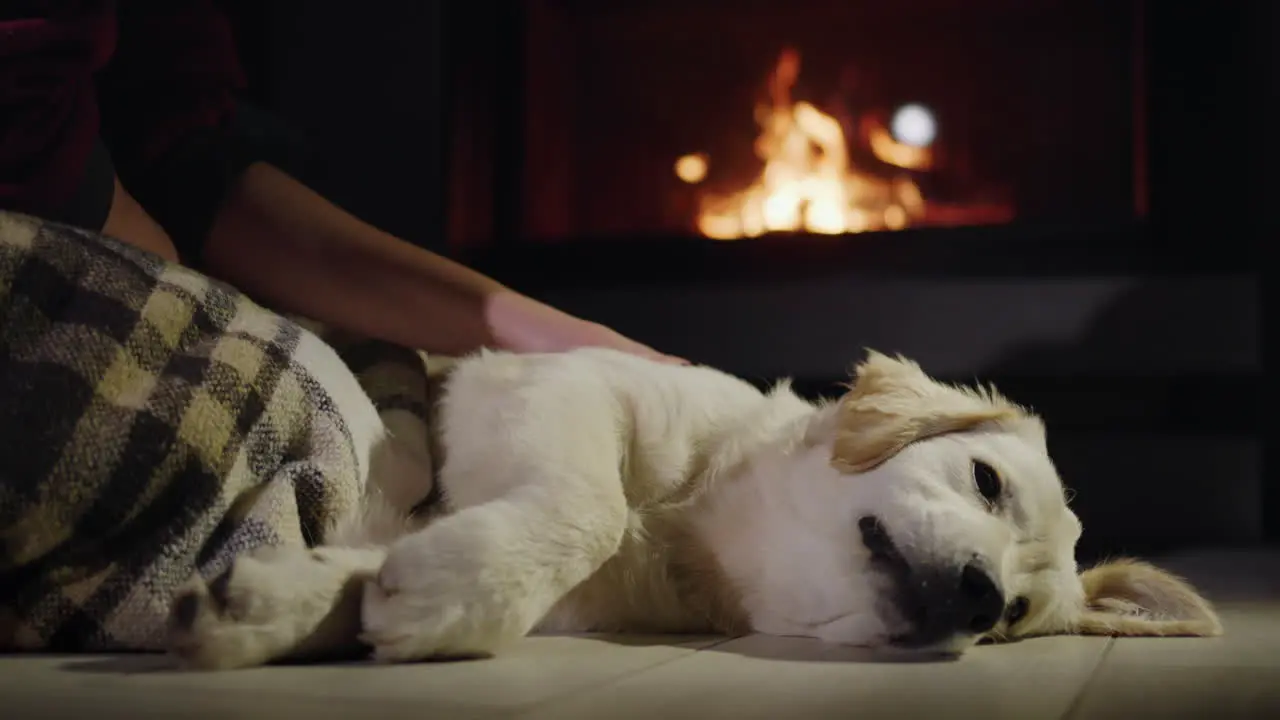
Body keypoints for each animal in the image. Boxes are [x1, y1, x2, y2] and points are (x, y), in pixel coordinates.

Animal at [167, 348, 1218, 666]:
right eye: (988, 480)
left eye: (1011, 618)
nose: (975, 596)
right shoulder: (547, 381)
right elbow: (590, 507)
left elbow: (377, 567)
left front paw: (276, 602)